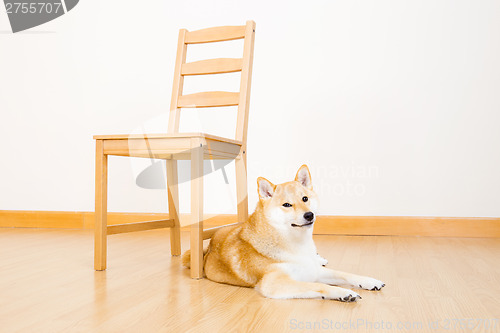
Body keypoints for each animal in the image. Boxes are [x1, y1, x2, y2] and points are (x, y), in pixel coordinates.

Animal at [185, 164, 386, 300]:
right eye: (287, 205)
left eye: (305, 198)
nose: (309, 215)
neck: (296, 245)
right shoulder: (275, 283)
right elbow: (319, 285)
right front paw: (344, 292)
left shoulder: (312, 269)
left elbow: (345, 274)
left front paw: (369, 281)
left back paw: (320, 258)